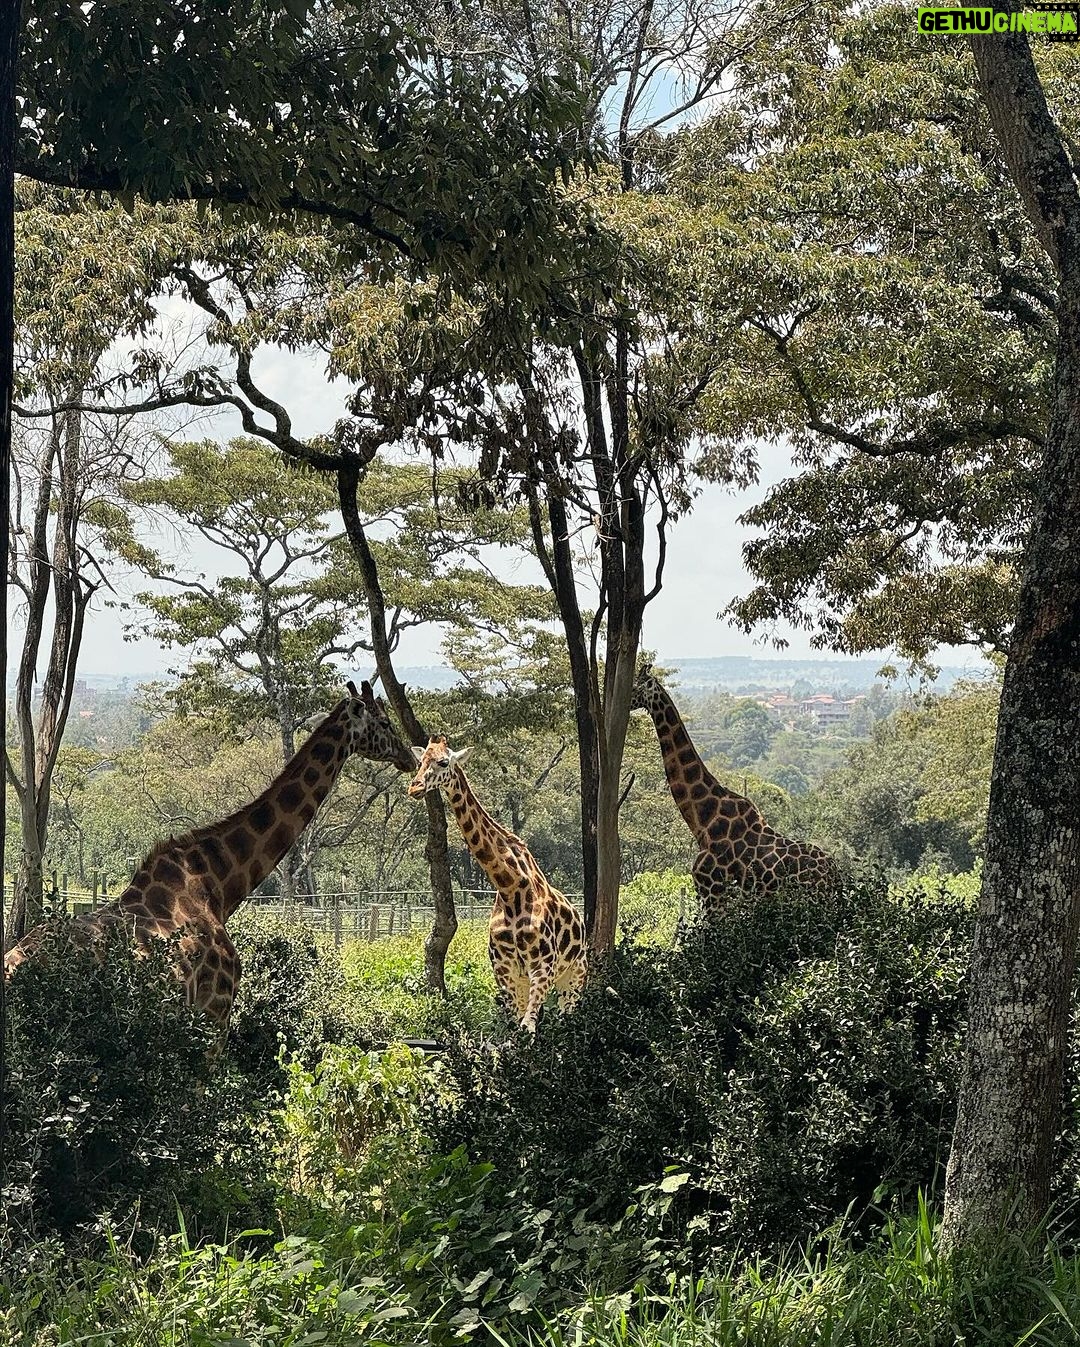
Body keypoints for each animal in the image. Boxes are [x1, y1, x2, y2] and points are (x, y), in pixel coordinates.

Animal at [406, 735, 587, 1032]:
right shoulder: (505, 972)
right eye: (420, 761)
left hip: (574, 975)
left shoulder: (542, 968)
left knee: (568, 1020)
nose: (416, 787)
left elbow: (528, 1029)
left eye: (443, 762)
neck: (510, 886)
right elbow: (513, 1030)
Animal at [632, 668, 839, 916]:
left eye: (635, 686)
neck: (703, 823)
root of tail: (835, 873)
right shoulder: (712, 895)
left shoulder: (713, 893)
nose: (626, 701)